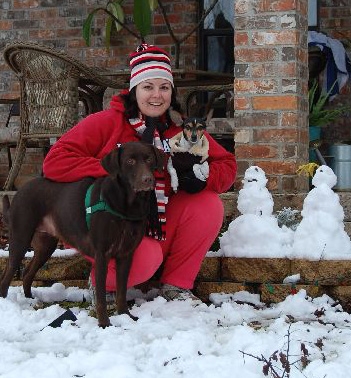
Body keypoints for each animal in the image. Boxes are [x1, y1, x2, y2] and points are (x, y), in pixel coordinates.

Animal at [0, 142, 165, 328]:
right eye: (130, 161)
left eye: (149, 159)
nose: (148, 179)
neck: (127, 205)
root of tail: (20, 190)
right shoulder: (102, 255)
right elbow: (100, 296)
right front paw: (104, 324)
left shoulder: (126, 255)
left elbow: (121, 291)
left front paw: (126, 316)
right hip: (21, 238)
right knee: (7, 276)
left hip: (45, 246)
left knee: (27, 273)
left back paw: (31, 301)